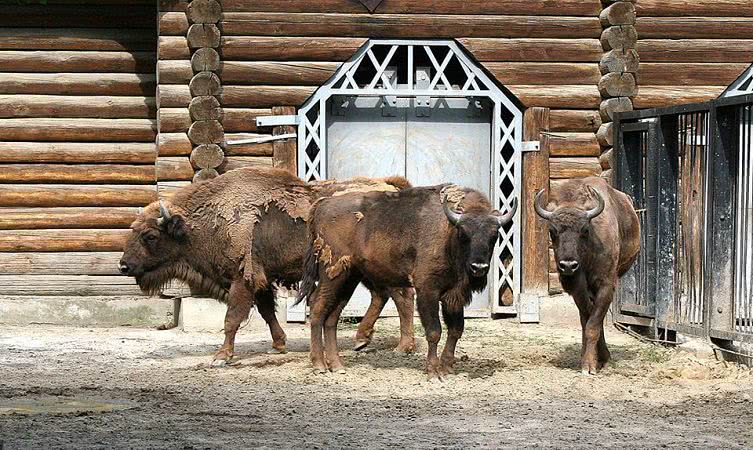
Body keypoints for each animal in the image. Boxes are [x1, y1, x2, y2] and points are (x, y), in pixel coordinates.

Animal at [121, 167, 418, 368]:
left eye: (150, 236)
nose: (124, 265)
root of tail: (392, 187)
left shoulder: (243, 280)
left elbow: (232, 319)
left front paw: (221, 357)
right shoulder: (261, 279)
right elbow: (266, 312)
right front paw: (279, 345)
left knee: (402, 297)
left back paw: (402, 347)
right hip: (362, 270)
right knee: (382, 296)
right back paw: (362, 340)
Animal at [296, 185, 516, 378]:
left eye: (494, 234)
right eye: (463, 232)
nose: (479, 267)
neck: (448, 231)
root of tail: (323, 204)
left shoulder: (454, 296)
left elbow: (456, 330)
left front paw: (446, 368)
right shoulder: (428, 290)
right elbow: (434, 331)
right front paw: (433, 372)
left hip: (349, 279)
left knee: (332, 317)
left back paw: (337, 366)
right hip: (332, 276)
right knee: (317, 309)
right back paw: (319, 365)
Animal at [532, 178, 636, 374]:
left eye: (585, 230)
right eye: (552, 231)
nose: (568, 266)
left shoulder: (606, 286)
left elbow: (593, 325)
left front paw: (591, 365)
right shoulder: (577, 290)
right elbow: (588, 320)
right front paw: (592, 359)